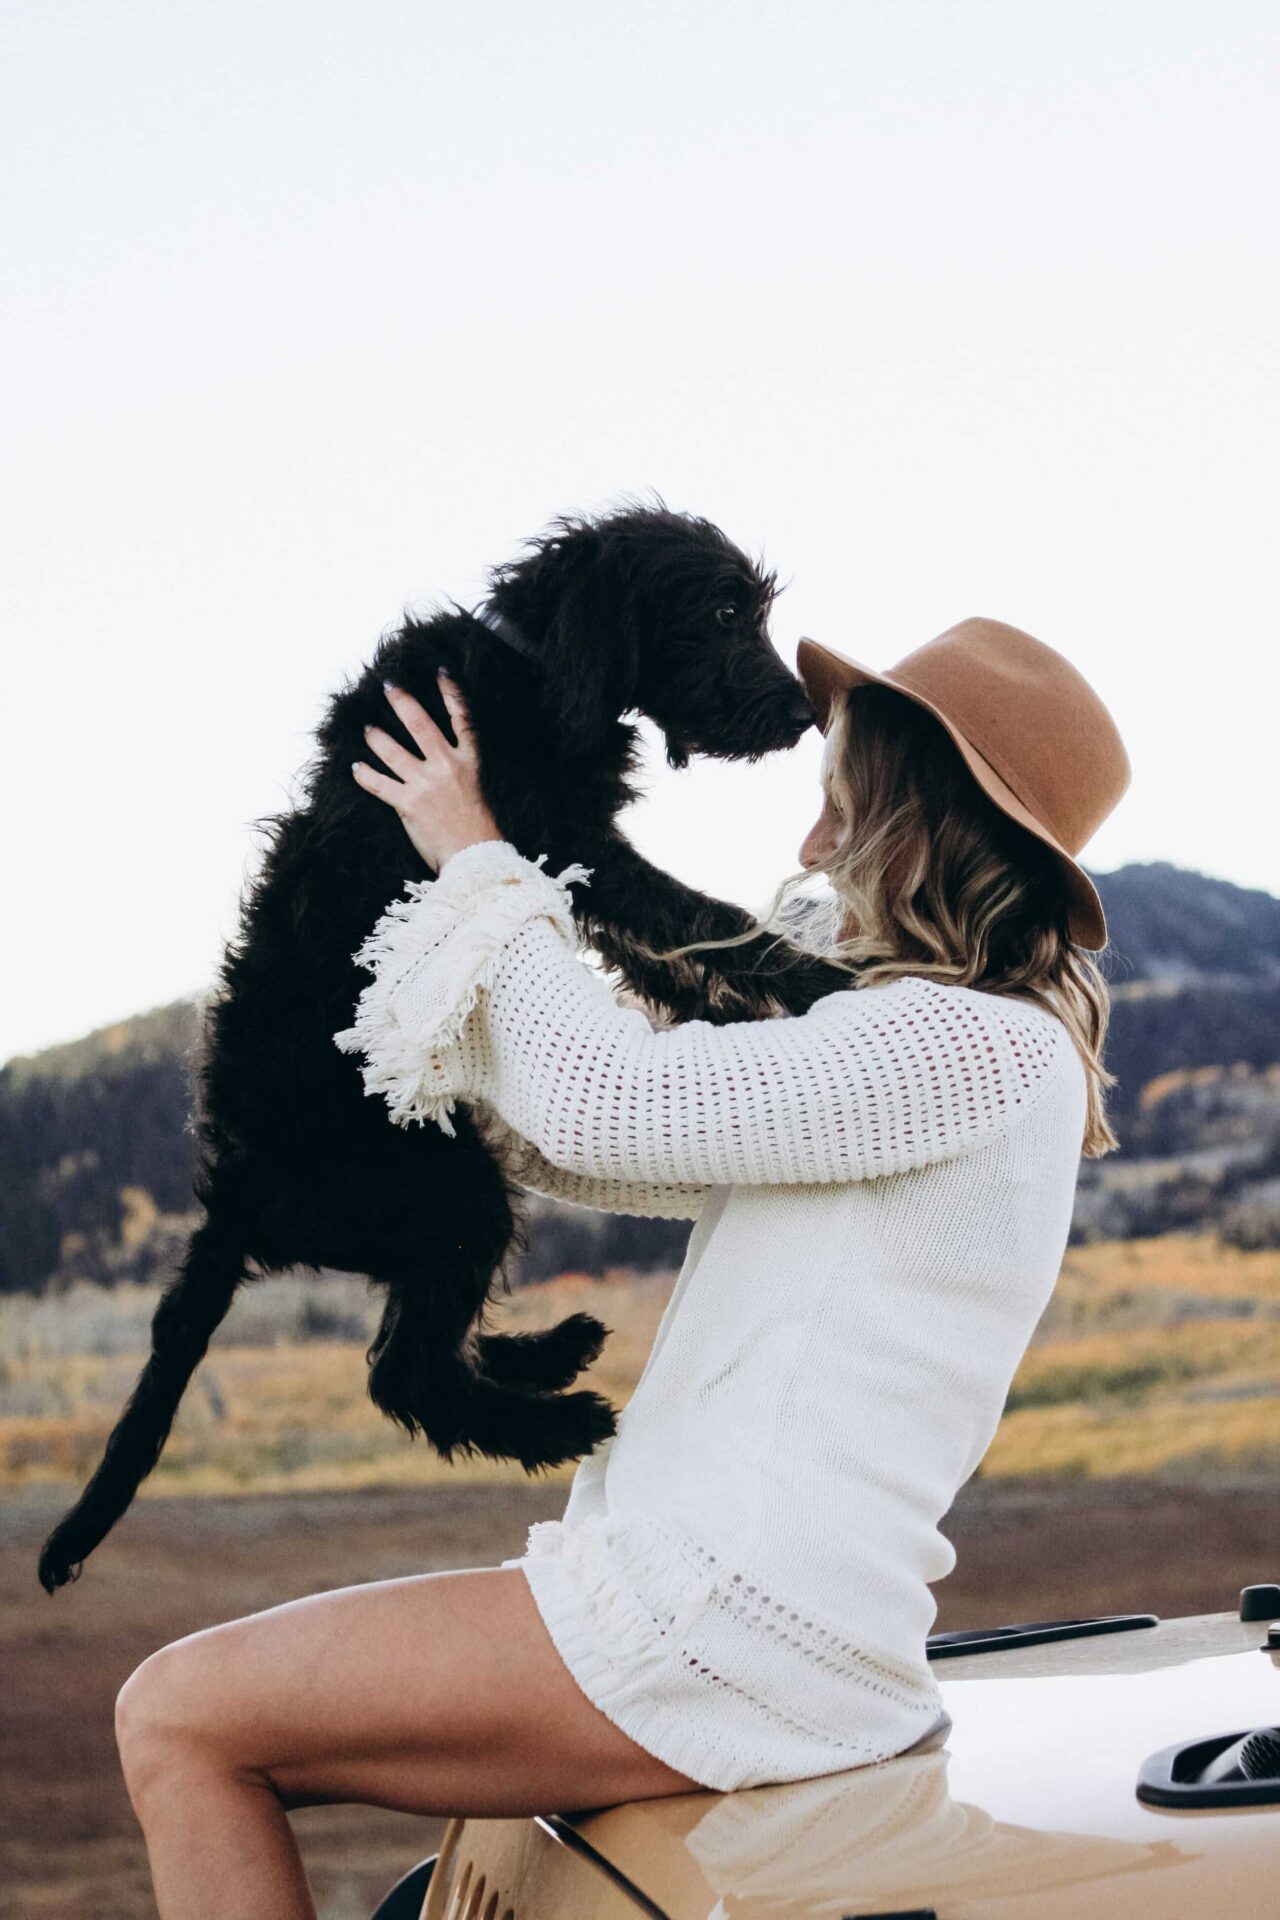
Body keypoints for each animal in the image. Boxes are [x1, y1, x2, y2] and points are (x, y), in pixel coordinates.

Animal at [35, 495, 855, 1589]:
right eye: (725, 612)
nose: (803, 713)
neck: (531, 664)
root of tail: (235, 1198)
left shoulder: (564, 862)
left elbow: (666, 955)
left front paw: (737, 1017)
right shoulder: (574, 842)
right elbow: (701, 918)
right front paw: (821, 981)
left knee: (423, 1346)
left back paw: (545, 1353)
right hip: (454, 1193)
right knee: (404, 1373)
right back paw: (557, 1420)